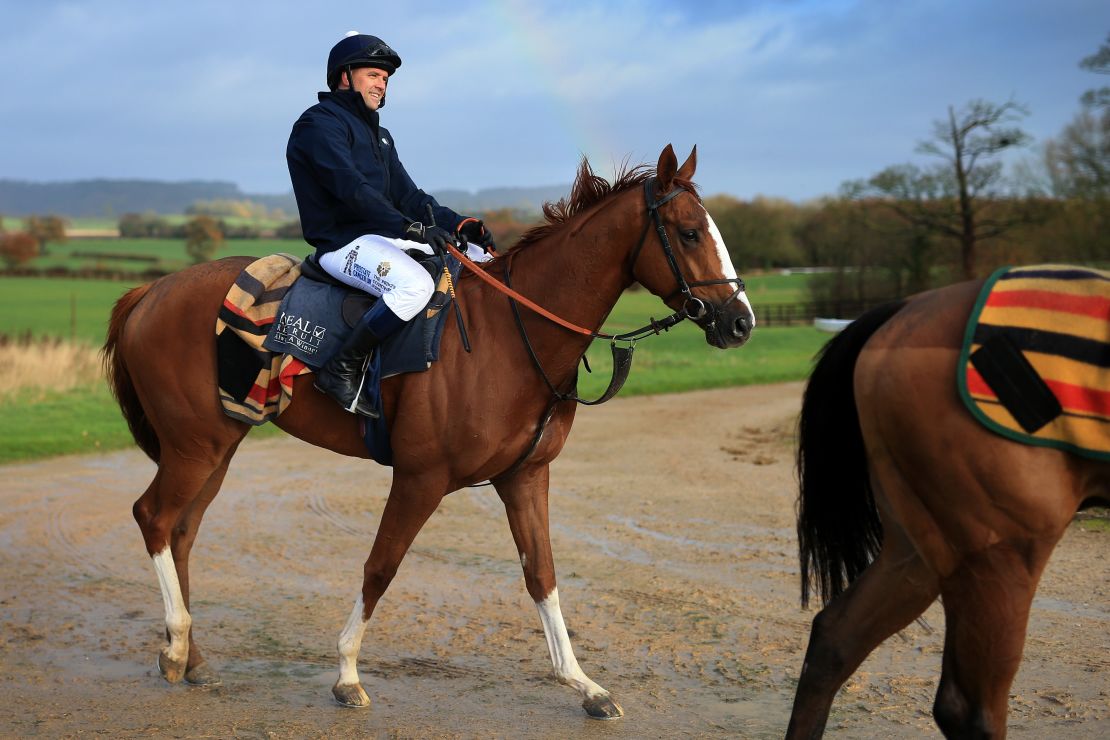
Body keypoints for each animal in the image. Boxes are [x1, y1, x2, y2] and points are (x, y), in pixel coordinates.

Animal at [102, 144, 754, 718]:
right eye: (689, 233)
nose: (741, 322)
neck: (509, 335)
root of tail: (150, 290)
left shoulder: (525, 478)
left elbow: (541, 575)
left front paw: (584, 684)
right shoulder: (421, 478)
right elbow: (381, 567)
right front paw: (347, 673)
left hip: (219, 446)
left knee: (181, 532)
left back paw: (191, 656)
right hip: (196, 446)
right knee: (154, 517)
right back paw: (177, 645)